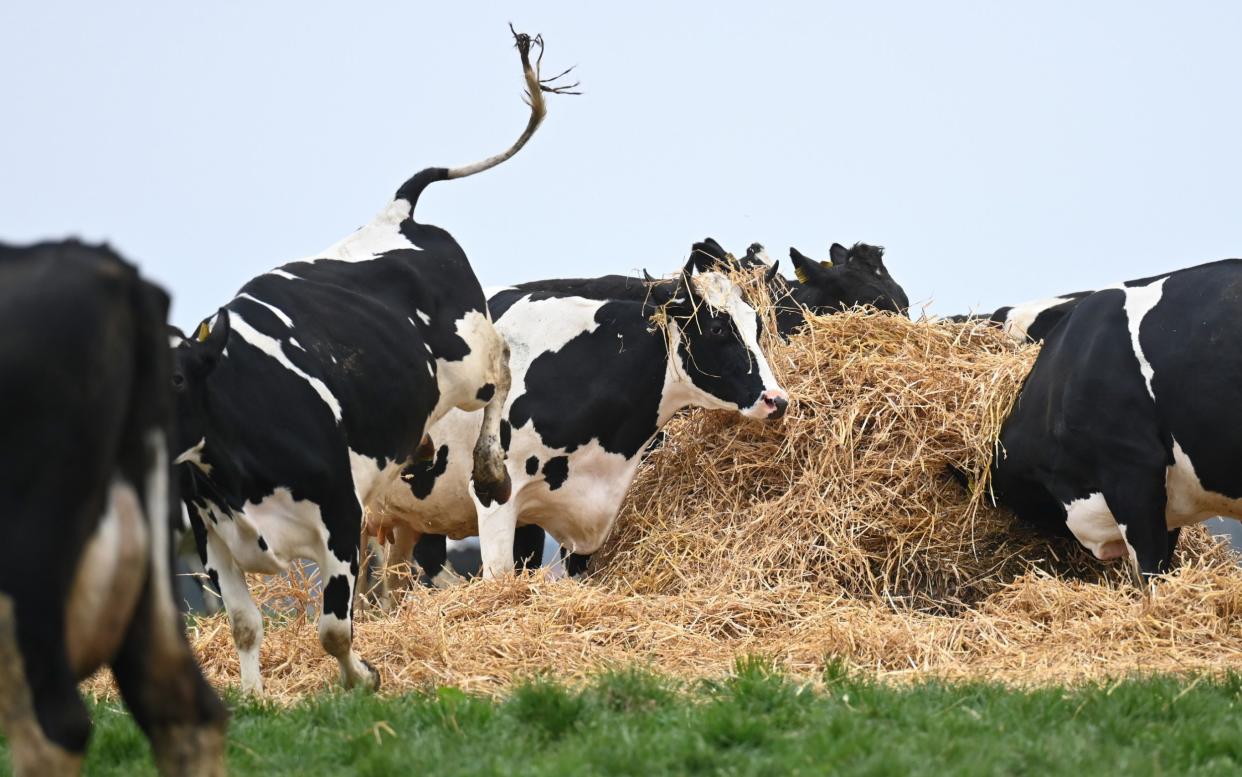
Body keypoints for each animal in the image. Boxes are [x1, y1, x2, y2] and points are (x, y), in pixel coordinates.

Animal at [171, 27, 576, 690]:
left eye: (176, 378)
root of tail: (394, 216)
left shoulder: (339, 519)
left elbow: (335, 628)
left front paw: (363, 680)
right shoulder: (214, 538)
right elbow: (244, 626)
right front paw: (253, 696)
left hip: (467, 358)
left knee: (501, 368)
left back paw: (490, 465)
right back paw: (422, 449)